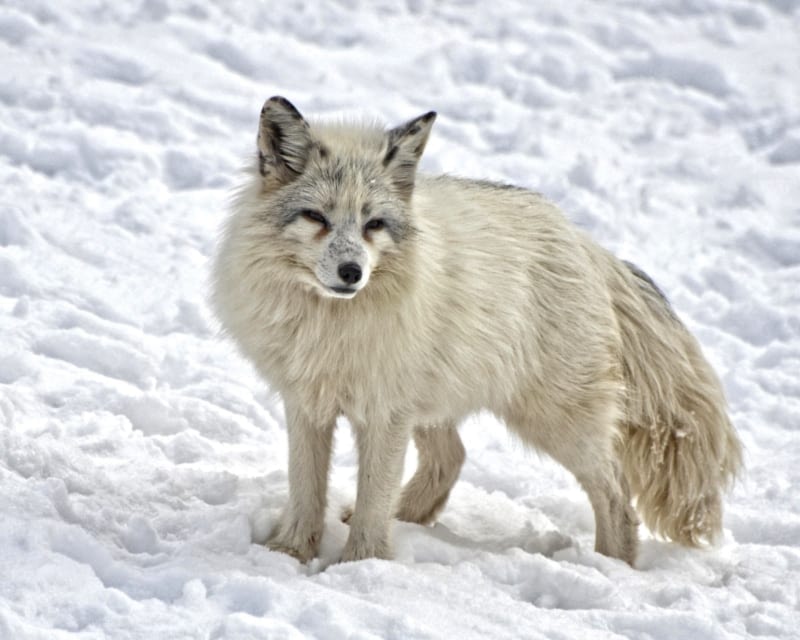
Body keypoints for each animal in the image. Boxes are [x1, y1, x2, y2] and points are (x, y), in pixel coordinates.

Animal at [214, 95, 744, 564]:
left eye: (373, 224)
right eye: (316, 218)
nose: (352, 273)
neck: (331, 326)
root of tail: (585, 242)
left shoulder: (385, 414)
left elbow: (372, 501)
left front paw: (359, 566)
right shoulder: (308, 403)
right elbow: (307, 489)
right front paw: (290, 553)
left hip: (555, 422)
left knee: (617, 499)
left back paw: (611, 569)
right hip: (438, 405)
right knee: (451, 458)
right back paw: (408, 519)